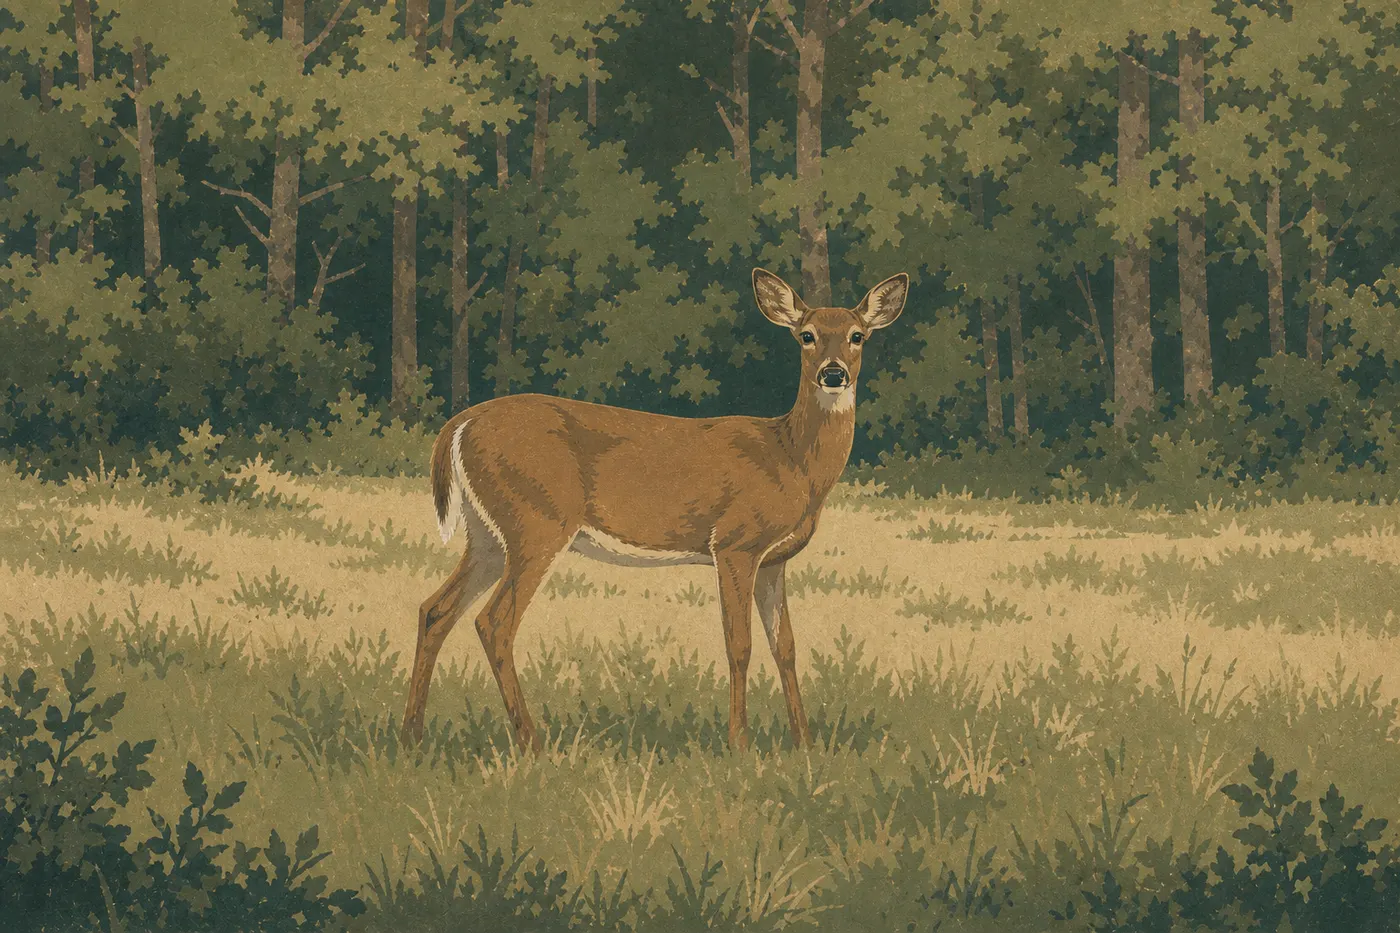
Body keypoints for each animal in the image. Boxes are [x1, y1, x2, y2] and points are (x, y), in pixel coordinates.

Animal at [402, 268, 909, 753]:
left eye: (857, 335)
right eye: (806, 335)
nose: (833, 374)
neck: (792, 459)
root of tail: (458, 425)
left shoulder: (774, 560)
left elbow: (784, 645)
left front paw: (804, 742)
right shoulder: (735, 544)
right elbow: (739, 644)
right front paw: (740, 744)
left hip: (488, 534)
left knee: (435, 609)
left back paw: (413, 735)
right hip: (537, 520)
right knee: (494, 621)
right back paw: (532, 743)